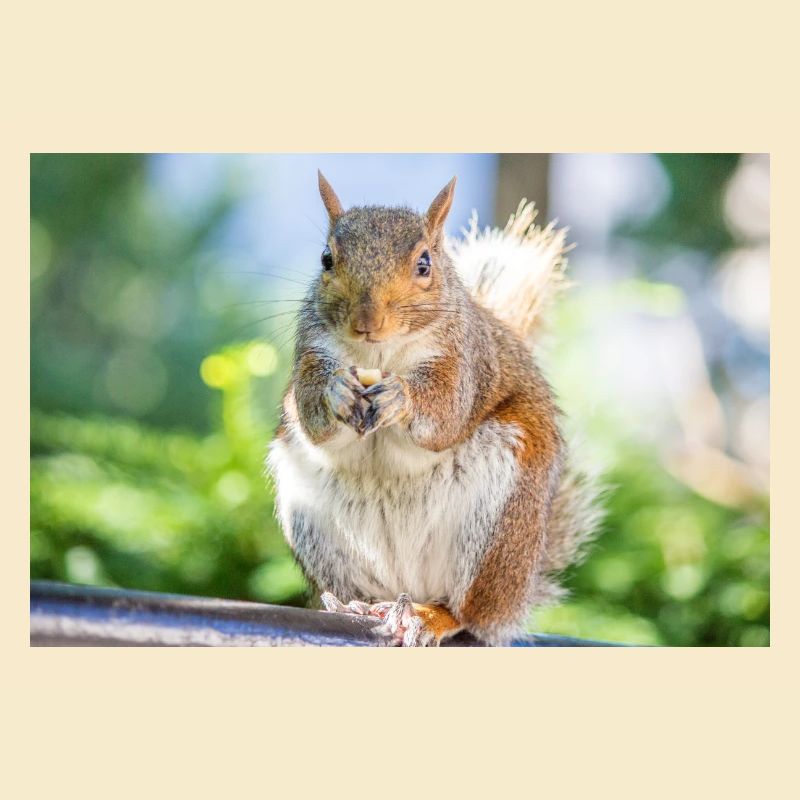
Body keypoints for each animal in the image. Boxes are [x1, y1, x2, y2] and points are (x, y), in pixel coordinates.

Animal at [267, 171, 602, 646]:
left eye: (424, 264)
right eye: (327, 259)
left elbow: (445, 414)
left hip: (498, 531)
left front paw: (401, 396)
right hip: (317, 529)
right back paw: (358, 605)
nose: (367, 323)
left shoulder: (465, 363)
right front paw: (336, 391)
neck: (381, 355)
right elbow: (312, 418)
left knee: (468, 611)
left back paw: (429, 616)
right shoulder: (312, 352)